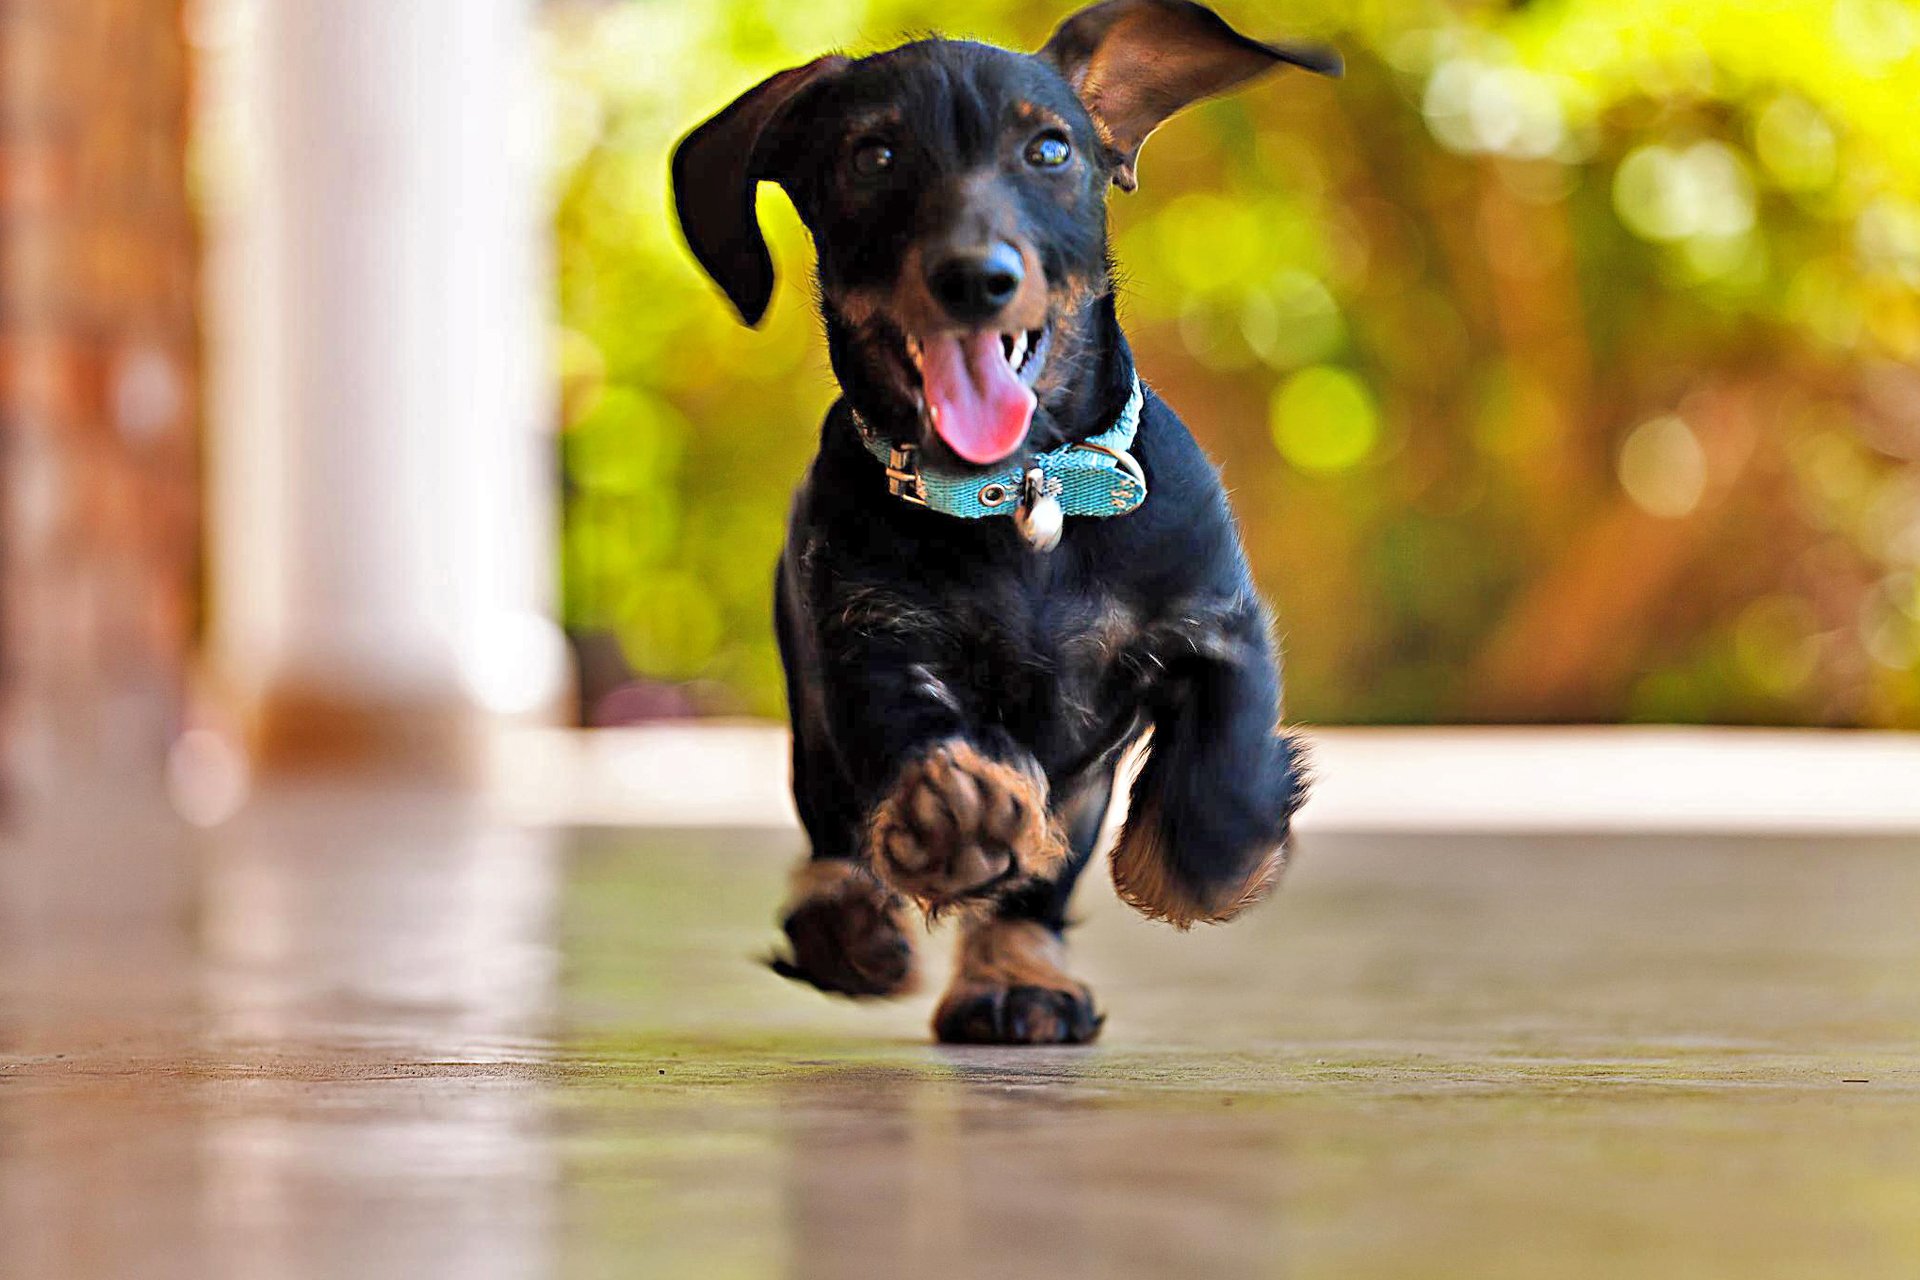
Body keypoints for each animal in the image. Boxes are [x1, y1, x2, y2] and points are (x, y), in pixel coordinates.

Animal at [672, 0, 1336, 1043]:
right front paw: (953, 817)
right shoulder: (867, 636)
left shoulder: (1217, 620)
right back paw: (847, 923)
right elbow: (913, 731)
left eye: (1050, 148)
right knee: (834, 830)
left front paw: (1205, 858)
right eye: (873, 156)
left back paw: (1020, 979)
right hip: (812, 727)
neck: (1022, 497)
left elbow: (1225, 751)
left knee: (1036, 891)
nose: (973, 277)